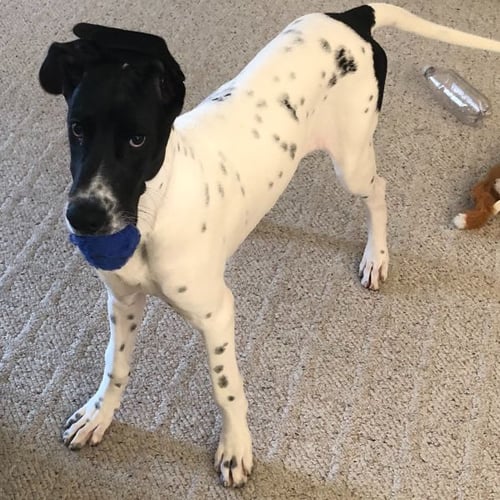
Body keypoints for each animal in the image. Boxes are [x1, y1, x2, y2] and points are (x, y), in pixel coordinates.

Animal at [39, 2, 500, 488]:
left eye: (137, 138)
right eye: (76, 129)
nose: (83, 217)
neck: (153, 212)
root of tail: (351, 15)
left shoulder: (217, 314)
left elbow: (226, 388)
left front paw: (235, 447)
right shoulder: (123, 300)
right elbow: (116, 365)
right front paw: (98, 415)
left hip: (351, 162)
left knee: (379, 192)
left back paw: (376, 257)